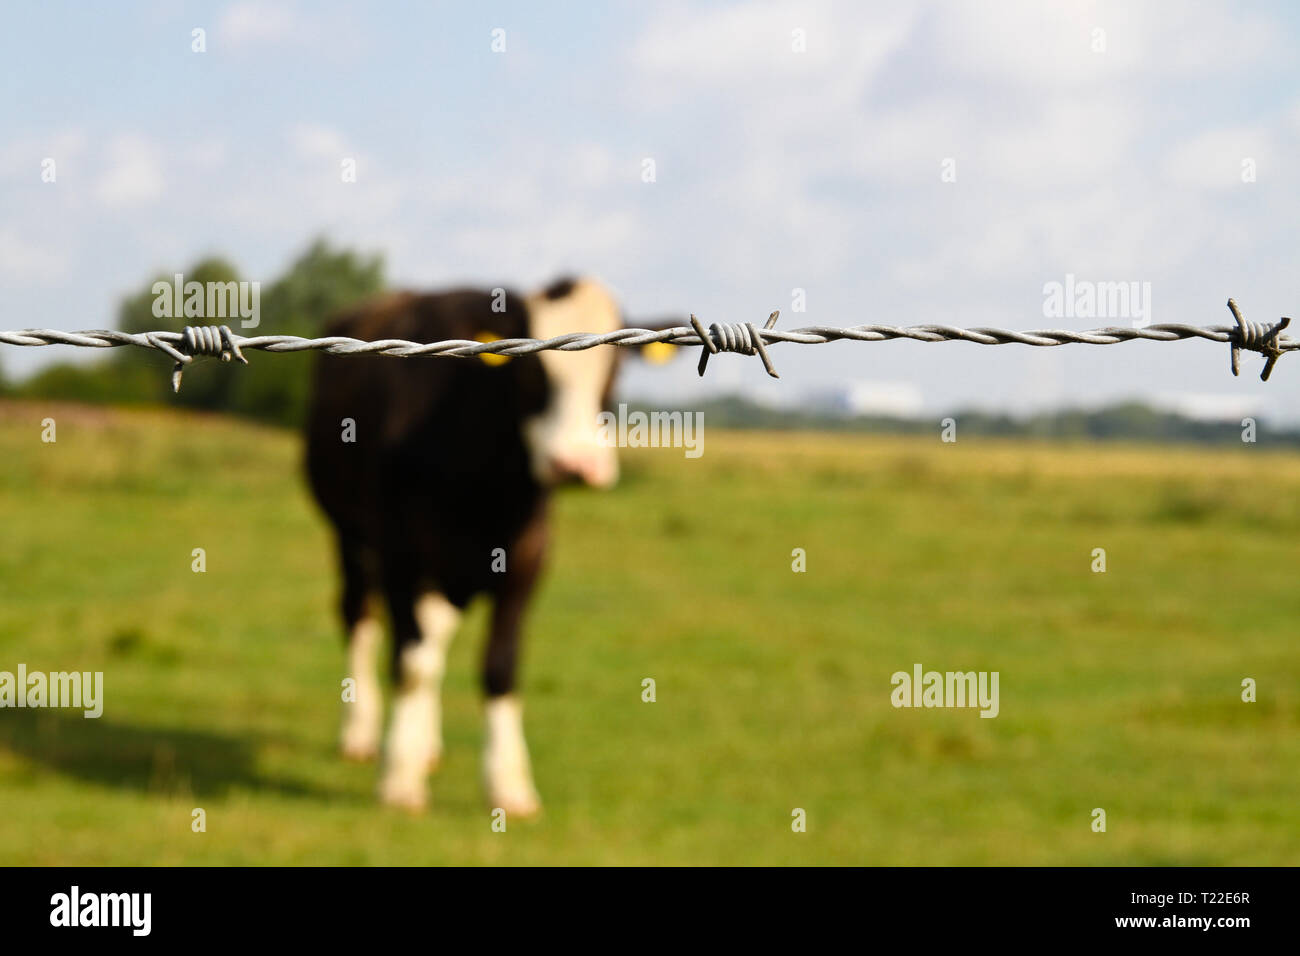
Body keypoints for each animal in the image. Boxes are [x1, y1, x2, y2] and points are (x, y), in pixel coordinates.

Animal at [305, 274, 681, 816]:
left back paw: (427, 745)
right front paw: (399, 779)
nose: (576, 464)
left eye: (612, 369)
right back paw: (361, 734)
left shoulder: (526, 555)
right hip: (349, 533)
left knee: (434, 635)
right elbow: (410, 662)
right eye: (532, 372)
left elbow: (499, 666)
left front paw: (509, 784)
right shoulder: (400, 552)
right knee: (361, 617)